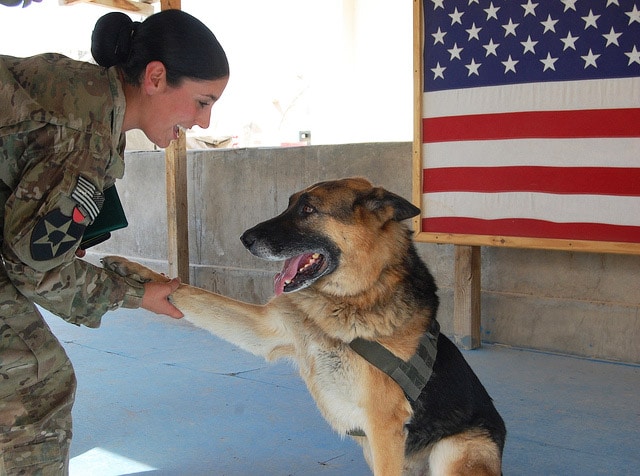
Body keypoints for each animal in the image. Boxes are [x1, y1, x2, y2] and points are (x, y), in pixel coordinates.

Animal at [104, 178, 504, 472]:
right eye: (289, 204)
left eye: (309, 210)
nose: (245, 239)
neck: (349, 300)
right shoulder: (267, 331)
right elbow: (189, 293)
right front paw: (139, 274)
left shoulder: (384, 427)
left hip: (455, 451)